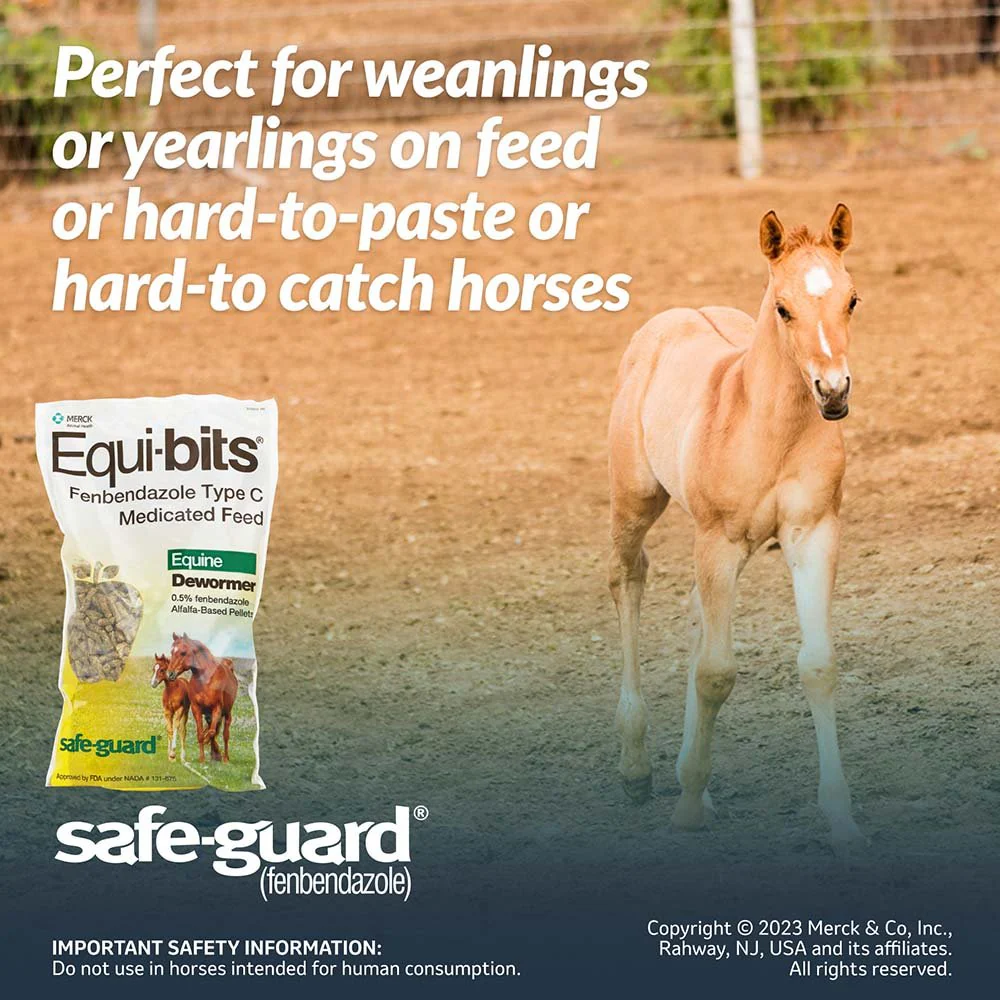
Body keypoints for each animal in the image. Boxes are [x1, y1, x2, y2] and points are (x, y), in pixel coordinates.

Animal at [167, 633, 238, 763]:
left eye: (183, 652)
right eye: (171, 651)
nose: (170, 674)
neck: (206, 680)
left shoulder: (217, 709)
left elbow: (211, 732)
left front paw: (211, 749)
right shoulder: (197, 709)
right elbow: (202, 733)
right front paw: (202, 758)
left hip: (227, 713)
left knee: (225, 734)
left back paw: (225, 758)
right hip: (209, 715)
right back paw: (215, 755)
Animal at [607, 205, 864, 850]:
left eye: (852, 299)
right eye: (783, 307)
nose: (833, 392)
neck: (770, 428)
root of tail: (675, 315)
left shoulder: (814, 533)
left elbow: (818, 665)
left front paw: (842, 820)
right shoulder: (718, 542)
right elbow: (717, 674)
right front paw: (687, 809)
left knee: (696, 615)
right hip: (635, 501)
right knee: (628, 580)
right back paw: (637, 769)